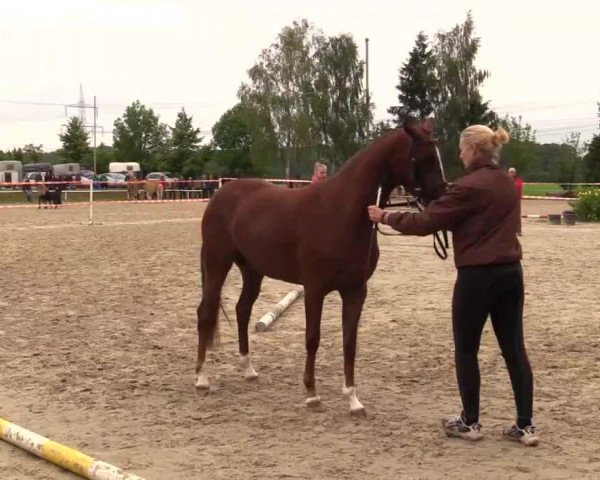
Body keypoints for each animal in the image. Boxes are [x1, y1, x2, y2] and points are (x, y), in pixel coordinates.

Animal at [196, 122, 446, 414]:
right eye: (422, 158)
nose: (442, 197)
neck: (341, 213)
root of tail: (220, 194)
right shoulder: (314, 290)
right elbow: (312, 339)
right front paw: (312, 394)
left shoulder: (355, 291)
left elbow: (350, 342)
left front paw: (352, 399)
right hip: (217, 264)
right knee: (206, 313)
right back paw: (202, 378)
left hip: (252, 271)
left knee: (242, 311)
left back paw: (248, 370)